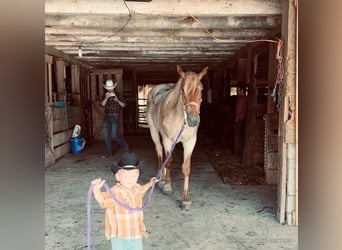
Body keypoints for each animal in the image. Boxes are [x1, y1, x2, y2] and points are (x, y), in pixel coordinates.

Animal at [145, 65, 207, 209]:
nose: (193, 121)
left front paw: (186, 199)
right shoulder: (168, 140)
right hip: (154, 131)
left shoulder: (190, 142)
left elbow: (186, 168)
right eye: (183, 90)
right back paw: (161, 180)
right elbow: (169, 162)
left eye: (201, 89)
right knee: (160, 152)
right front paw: (167, 186)